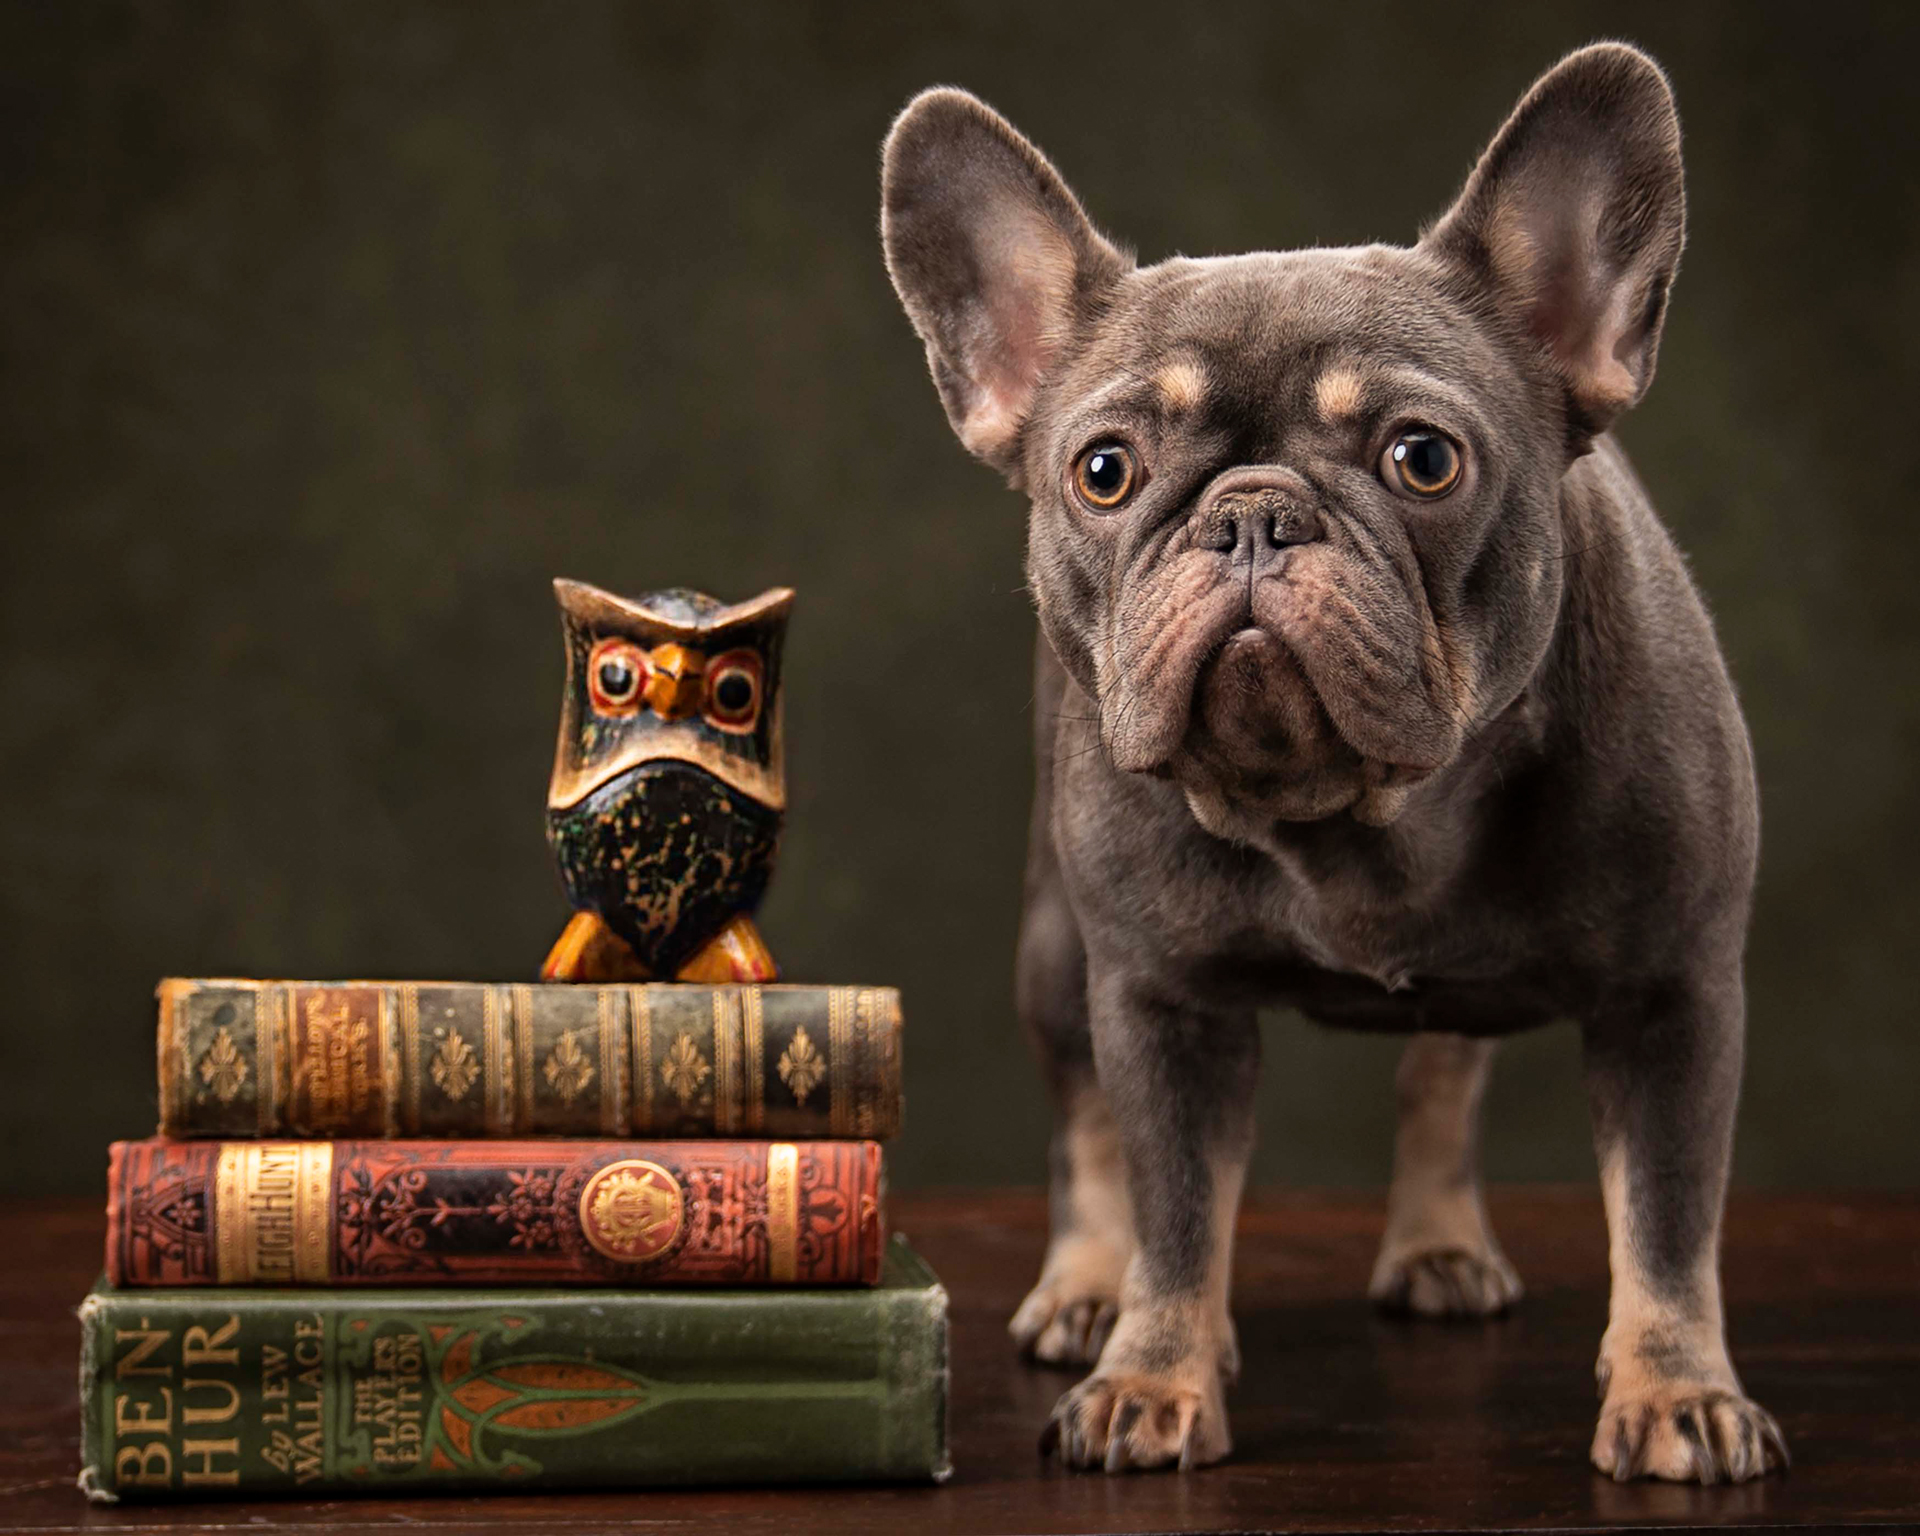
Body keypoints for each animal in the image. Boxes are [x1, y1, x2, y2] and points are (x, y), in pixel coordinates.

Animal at [879, 45, 1789, 1489]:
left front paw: (1677, 1392)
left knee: (1441, 1076)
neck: (1359, 816)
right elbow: (1177, 1206)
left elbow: (1665, 1218)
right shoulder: (1162, 1005)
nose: (1253, 514)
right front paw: (1154, 1372)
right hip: (1054, 949)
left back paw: (1439, 1243)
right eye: (1103, 471)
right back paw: (1088, 1291)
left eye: (1423, 458)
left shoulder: (1674, 996)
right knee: (1086, 1126)